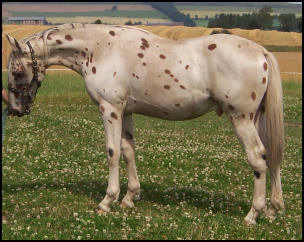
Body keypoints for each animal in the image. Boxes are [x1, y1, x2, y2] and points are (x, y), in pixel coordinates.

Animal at [5, 23, 284, 226]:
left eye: (17, 72)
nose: (16, 109)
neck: (100, 48)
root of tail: (262, 52)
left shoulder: (110, 109)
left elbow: (112, 152)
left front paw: (107, 201)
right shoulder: (126, 111)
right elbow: (129, 152)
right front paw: (129, 197)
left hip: (241, 118)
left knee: (258, 158)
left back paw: (253, 215)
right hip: (256, 118)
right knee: (272, 157)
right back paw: (273, 210)